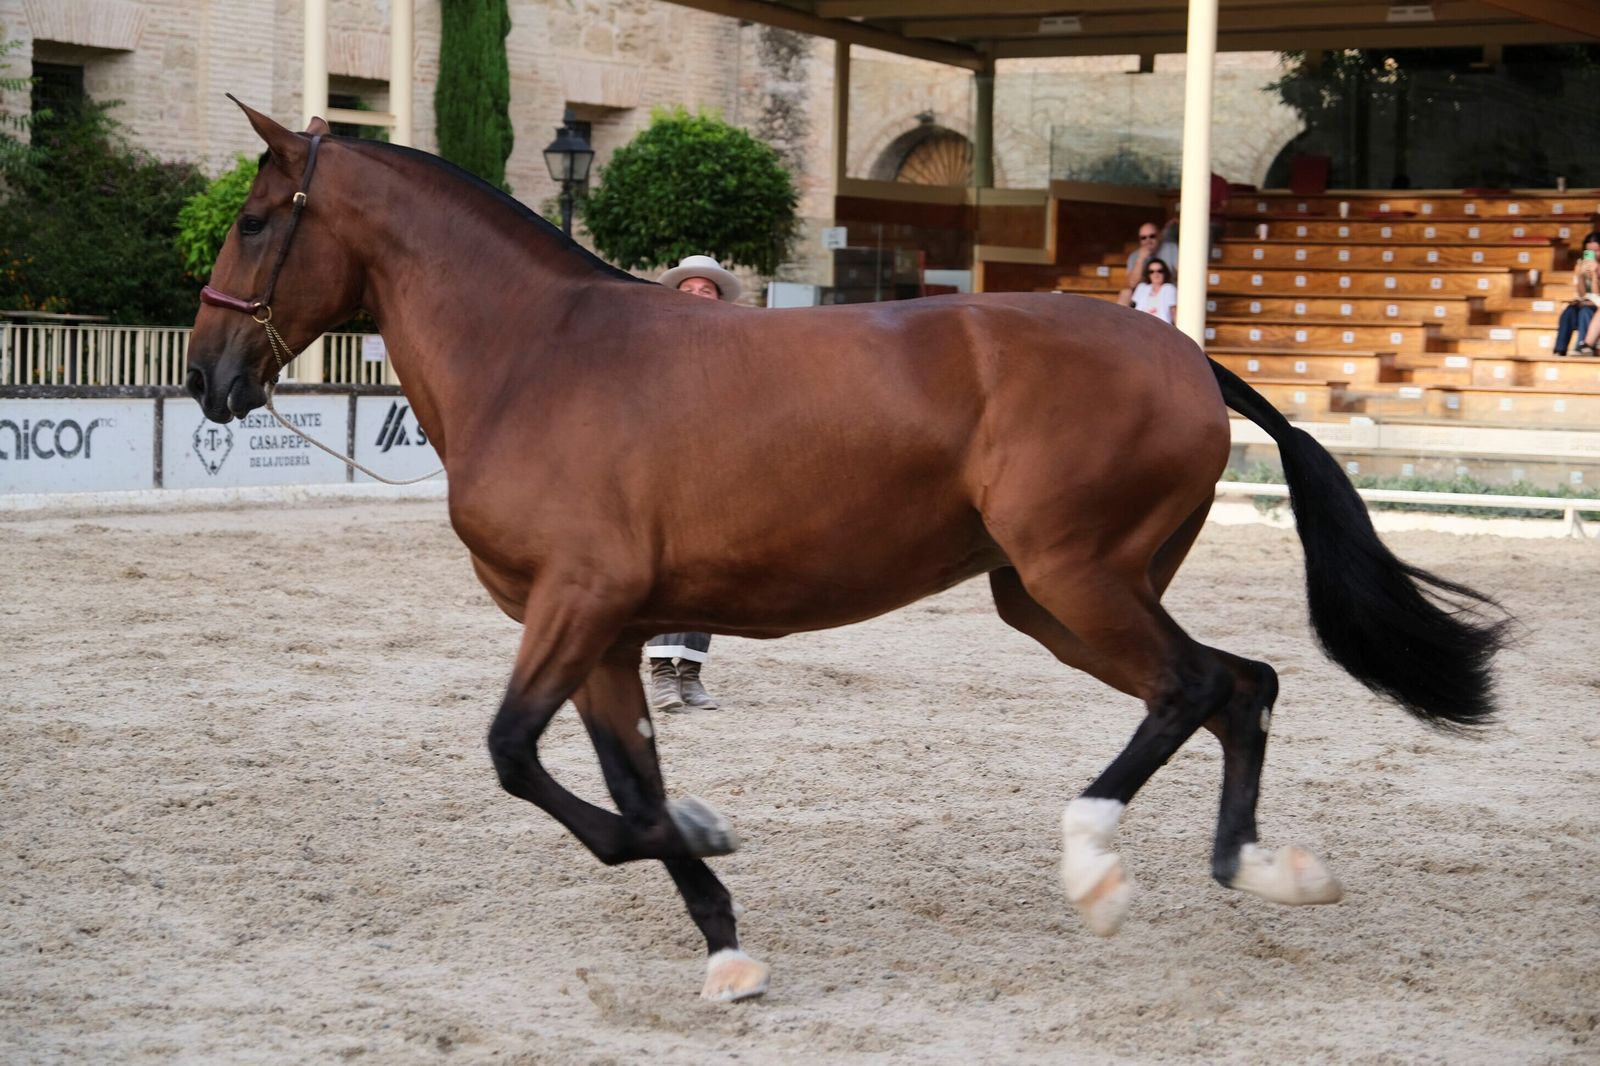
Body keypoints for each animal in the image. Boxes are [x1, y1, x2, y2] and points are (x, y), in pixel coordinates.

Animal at [185, 101, 1507, 1003]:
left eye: (253, 222)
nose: (207, 378)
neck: (536, 354)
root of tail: (1185, 356)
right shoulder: (604, 628)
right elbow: (628, 784)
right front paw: (723, 936)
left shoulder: (576, 603)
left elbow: (520, 758)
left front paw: (706, 842)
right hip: (1051, 598)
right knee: (1242, 684)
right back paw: (1261, 869)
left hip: (1078, 577)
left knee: (1194, 686)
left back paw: (1095, 865)